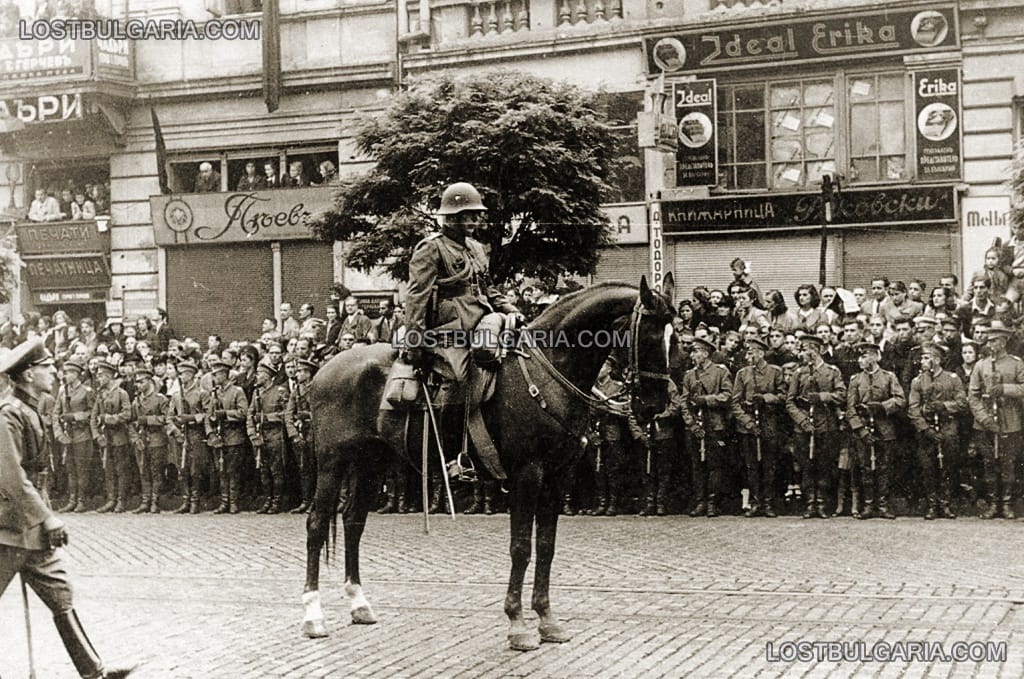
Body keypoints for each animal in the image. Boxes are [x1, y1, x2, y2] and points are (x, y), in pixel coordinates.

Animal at [299, 274, 675, 655]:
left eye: (674, 340)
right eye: (651, 337)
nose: (655, 406)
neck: (548, 372)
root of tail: (324, 370)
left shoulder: (556, 478)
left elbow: (546, 547)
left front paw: (548, 621)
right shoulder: (527, 475)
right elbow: (521, 548)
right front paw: (518, 625)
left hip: (370, 463)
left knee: (353, 522)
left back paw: (359, 604)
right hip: (332, 462)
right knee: (316, 525)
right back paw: (313, 615)